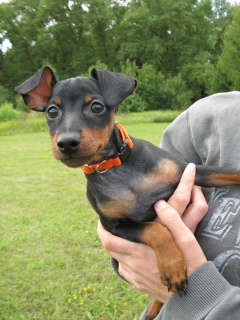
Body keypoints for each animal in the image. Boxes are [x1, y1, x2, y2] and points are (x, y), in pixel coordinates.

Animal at [15, 67, 240, 318]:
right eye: (52, 112)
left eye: (96, 107)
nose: (66, 143)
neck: (116, 168)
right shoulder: (115, 227)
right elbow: (156, 230)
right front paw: (173, 266)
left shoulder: (191, 171)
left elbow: (230, 172)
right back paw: (155, 306)